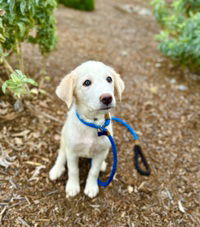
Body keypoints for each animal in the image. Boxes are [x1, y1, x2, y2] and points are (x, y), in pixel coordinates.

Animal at [49, 61, 124, 198]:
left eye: (109, 79)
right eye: (87, 82)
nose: (107, 98)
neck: (93, 123)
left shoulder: (100, 153)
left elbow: (94, 171)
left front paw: (91, 187)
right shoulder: (72, 152)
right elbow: (73, 170)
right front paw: (73, 187)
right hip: (64, 141)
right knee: (61, 155)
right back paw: (56, 169)